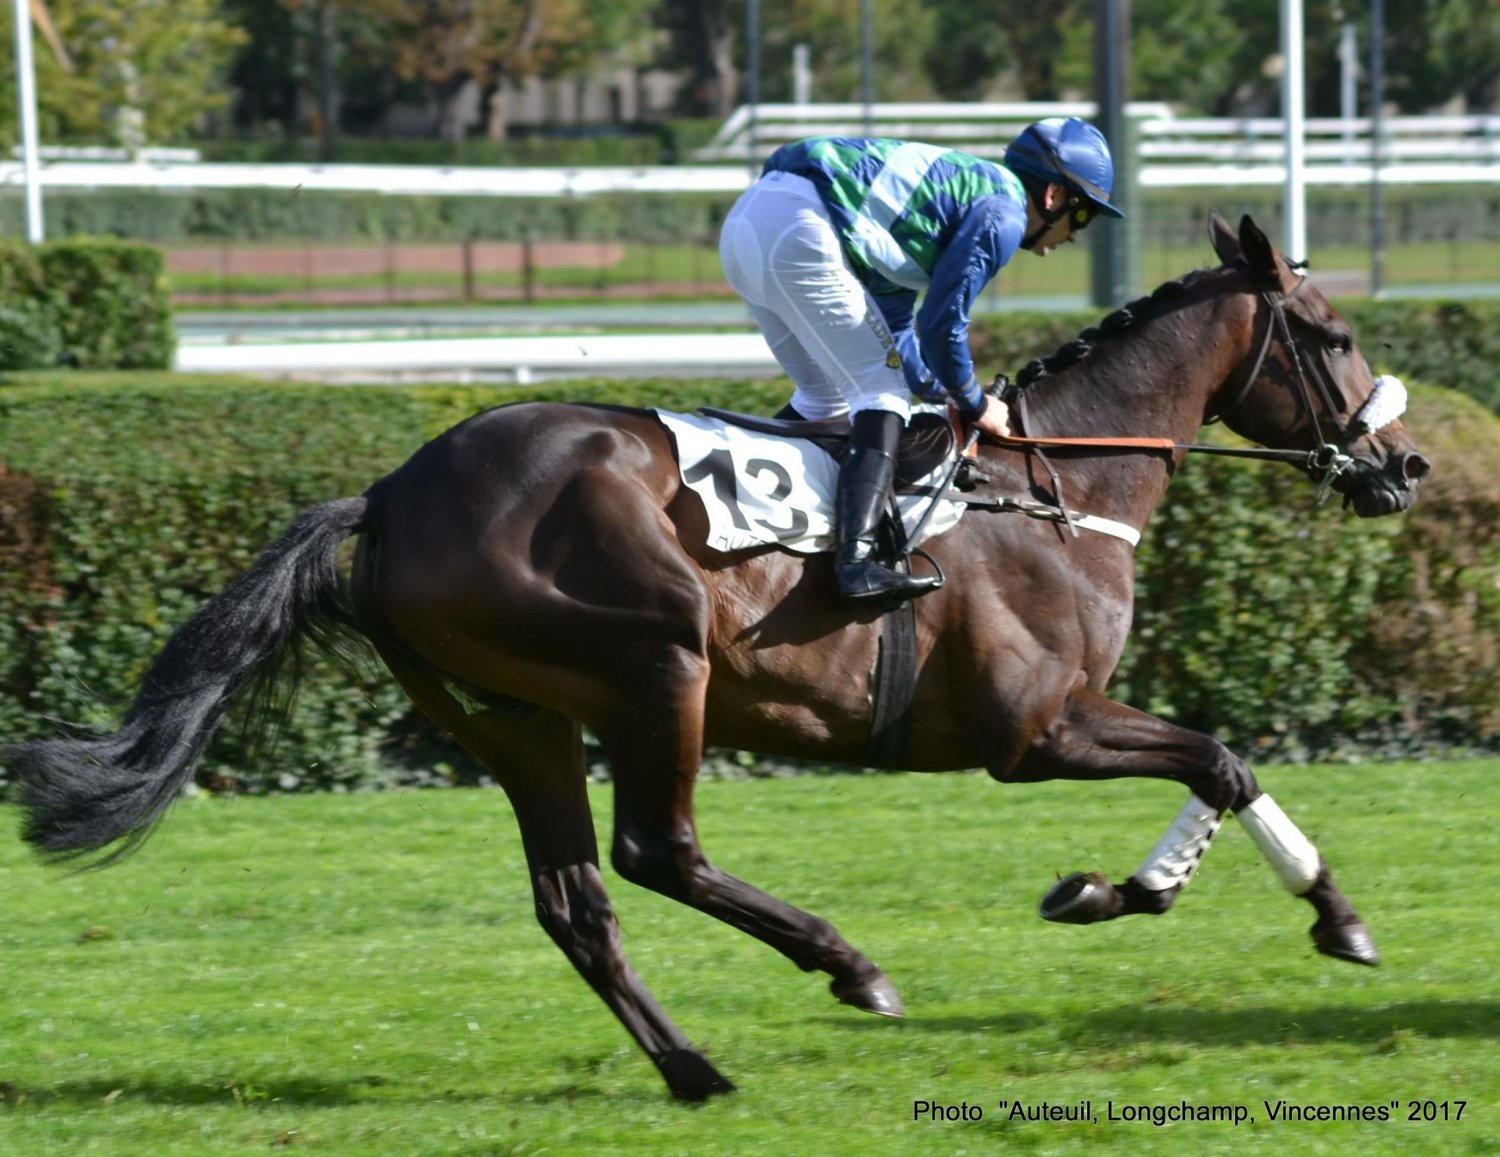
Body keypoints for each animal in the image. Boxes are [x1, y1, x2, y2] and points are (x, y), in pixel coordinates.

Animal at [6, 213, 1430, 1101]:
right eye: (1331, 331)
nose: (1406, 463)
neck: (1052, 486)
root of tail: (392, 494)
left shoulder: (1056, 721)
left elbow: (1225, 762)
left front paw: (1237, 900)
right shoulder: (1036, 728)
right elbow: (1222, 757)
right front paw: (1236, 903)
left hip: (516, 721)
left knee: (578, 900)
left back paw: (692, 1065)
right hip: (657, 667)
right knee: (656, 850)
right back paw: (849, 965)